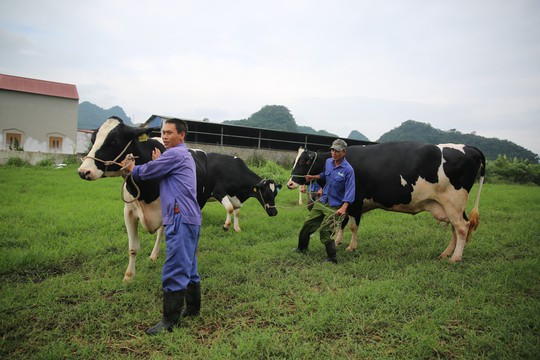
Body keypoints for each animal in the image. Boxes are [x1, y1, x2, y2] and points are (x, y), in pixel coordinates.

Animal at [77, 118, 208, 282]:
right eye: (93, 139)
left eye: (114, 141)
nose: (83, 171)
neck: (145, 191)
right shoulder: (128, 212)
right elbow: (133, 247)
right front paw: (128, 276)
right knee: (161, 232)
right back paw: (153, 255)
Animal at [286, 142, 486, 262]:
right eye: (294, 161)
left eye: (303, 162)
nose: (290, 183)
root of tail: (469, 148)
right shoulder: (346, 202)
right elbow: (341, 222)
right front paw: (337, 241)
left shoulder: (355, 200)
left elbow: (352, 226)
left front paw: (351, 246)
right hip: (451, 206)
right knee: (457, 227)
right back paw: (446, 253)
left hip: (453, 201)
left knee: (462, 227)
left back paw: (455, 258)